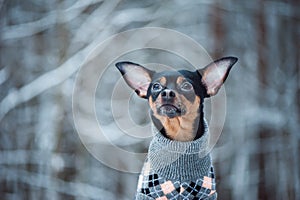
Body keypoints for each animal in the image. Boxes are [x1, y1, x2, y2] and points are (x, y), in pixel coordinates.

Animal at [116, 56, 238, 200]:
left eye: (186, 86)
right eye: (156, 86)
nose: (167, 93)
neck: (179, 138)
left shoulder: (207, 196)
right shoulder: (148, 195)